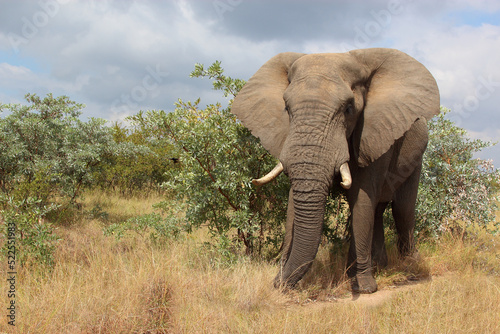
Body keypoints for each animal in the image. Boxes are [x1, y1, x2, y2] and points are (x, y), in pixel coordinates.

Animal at [229, 47, 438, 292]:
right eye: (286, 108)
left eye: (348, 109)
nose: (277, 282)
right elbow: (294, 204)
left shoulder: (373, 132)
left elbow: (362, 198)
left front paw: (363, 287)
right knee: (378, 209)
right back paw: (380, 266)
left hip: (416, 155)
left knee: (402, 208)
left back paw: (408, 265)